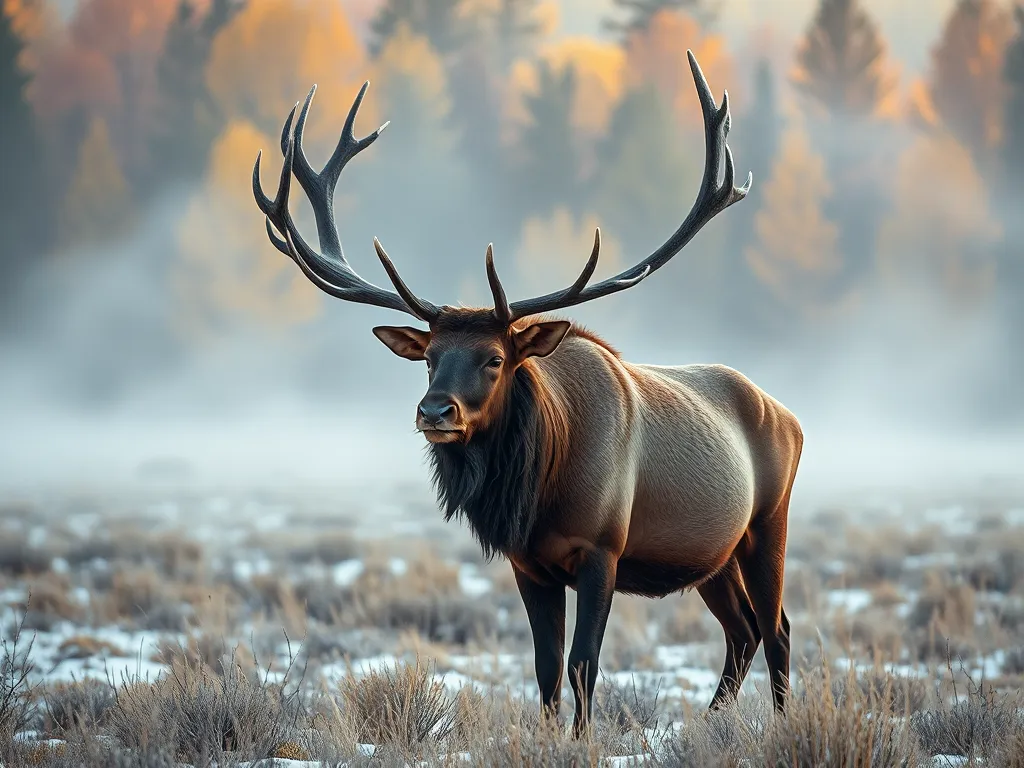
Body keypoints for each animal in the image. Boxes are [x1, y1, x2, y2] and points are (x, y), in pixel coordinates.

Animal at [252, 52, 803, 737]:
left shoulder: (603, 550)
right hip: (712, 556)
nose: (434, 411)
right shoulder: (528, 563)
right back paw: (709, 724)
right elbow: (543, 668)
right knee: (743, 630)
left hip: (767, 522)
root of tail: (788, 416)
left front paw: (583, 740)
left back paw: (782, 723)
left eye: (495, 359)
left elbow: (583, 662)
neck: (540, 487)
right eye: (429, 359)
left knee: (778, 628)